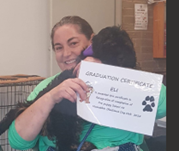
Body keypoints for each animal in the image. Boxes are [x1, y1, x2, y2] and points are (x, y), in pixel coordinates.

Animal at [0, 25, 136, 150]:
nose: (125, 58)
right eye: (111, 44)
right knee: (64, 144)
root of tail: (33, 102)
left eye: (127, 45)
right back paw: (86, 145)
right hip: (65, 121)